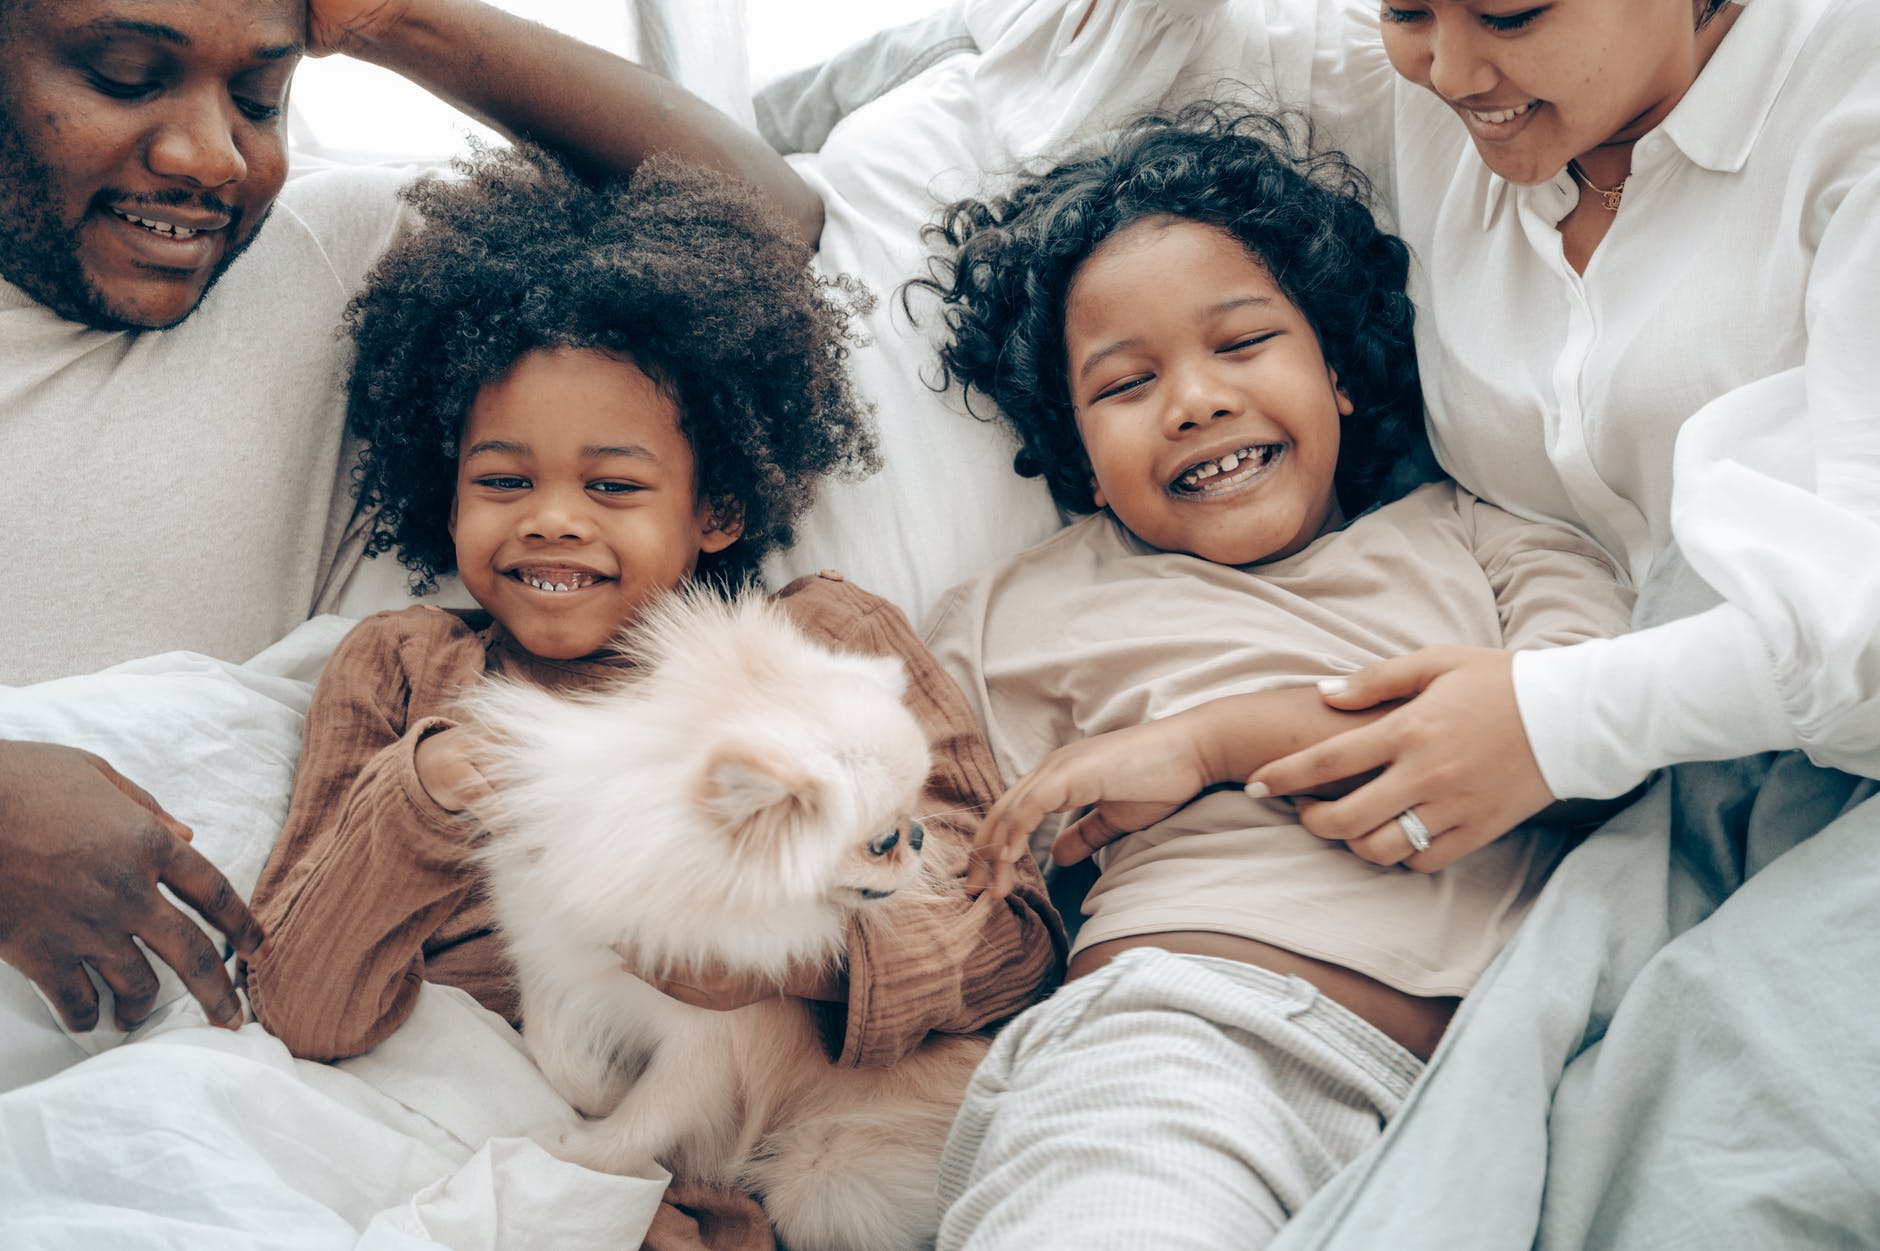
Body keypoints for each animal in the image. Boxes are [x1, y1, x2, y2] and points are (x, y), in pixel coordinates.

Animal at [466, 586, 985, 1249]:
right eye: (881, 842)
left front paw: (573, 1153)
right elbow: (553, 1049)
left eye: (913, 812)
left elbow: (642, 1124)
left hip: (822, 1183)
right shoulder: (555, 953)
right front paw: (602, 1088)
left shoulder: (709, 1048)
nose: (918, 835)